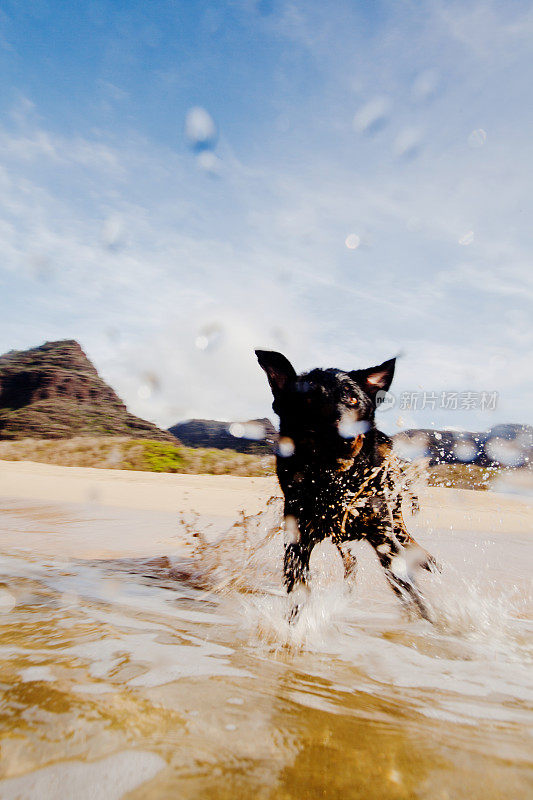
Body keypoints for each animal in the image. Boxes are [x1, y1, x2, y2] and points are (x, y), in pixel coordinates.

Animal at [256, 348, 436, 620]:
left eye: (353, 400)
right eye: (309, 400)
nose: (346, 436)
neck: (335, 484)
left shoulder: (383, 536)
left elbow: (412, 592)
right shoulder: (298, 538)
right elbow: (298, 590)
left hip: (393, 503)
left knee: (403, 532)